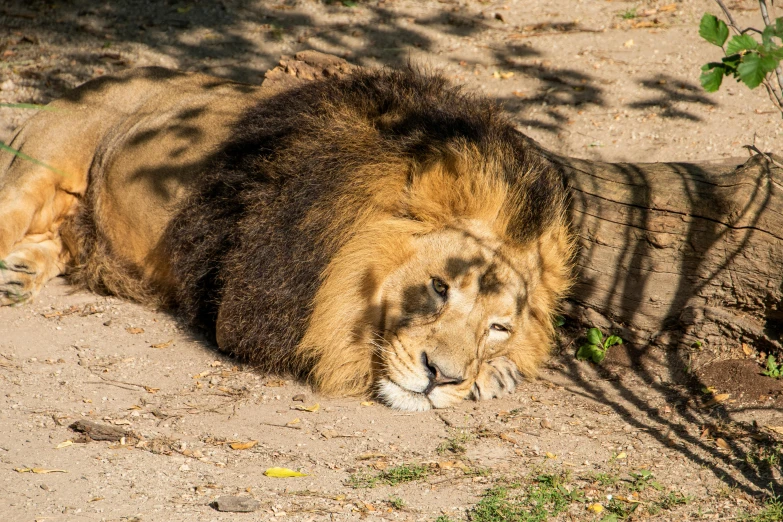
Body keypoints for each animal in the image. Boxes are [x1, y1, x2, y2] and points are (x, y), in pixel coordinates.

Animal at [0, 54, 576, 408]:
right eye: (438, 288)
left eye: (498, 327)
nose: (444, 377)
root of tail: (94, 79)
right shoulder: (248, 310)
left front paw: (495, 373)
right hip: (38, 168)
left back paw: (18, 276)